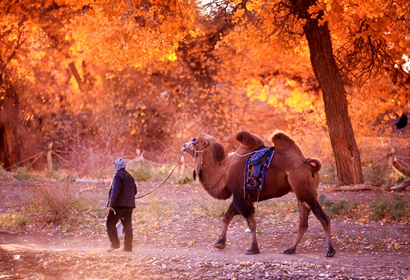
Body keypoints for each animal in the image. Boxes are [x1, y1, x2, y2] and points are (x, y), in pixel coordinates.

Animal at [183, 130, 336, 258]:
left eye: (195, 142)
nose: (184, 145)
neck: (224, 171)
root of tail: (308, 165)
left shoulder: (240, 196)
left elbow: (251, 223)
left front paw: (253, 248)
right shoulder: (241, 196)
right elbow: (227, 217)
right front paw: (220, 242)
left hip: (305, 190)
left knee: (323, 218)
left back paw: (330, 250)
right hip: (301, 193)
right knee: (303, 223)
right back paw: (290, 249)